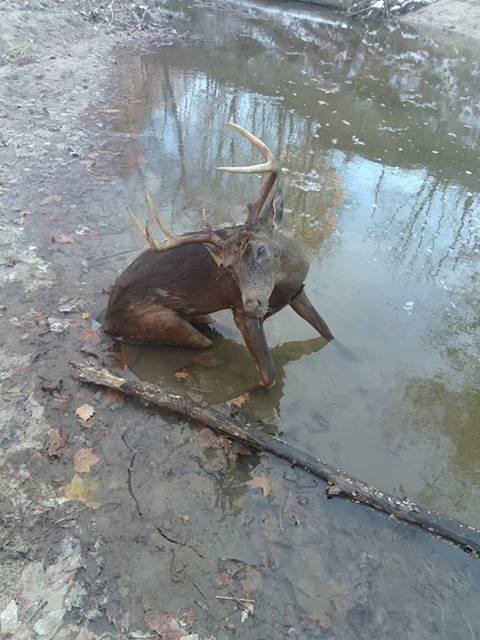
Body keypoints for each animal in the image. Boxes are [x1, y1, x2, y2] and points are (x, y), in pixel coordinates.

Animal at [104, 122, 338, 388]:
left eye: (261, 249)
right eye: (230, 270)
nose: (253, 304)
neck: (285, 282)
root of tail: (106, 319)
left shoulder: (298, 292)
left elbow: (327, 331)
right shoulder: (241, 312)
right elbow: (268, 375)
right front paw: (250, 389)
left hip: (200, 315)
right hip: (161, 323)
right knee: (202, 341)